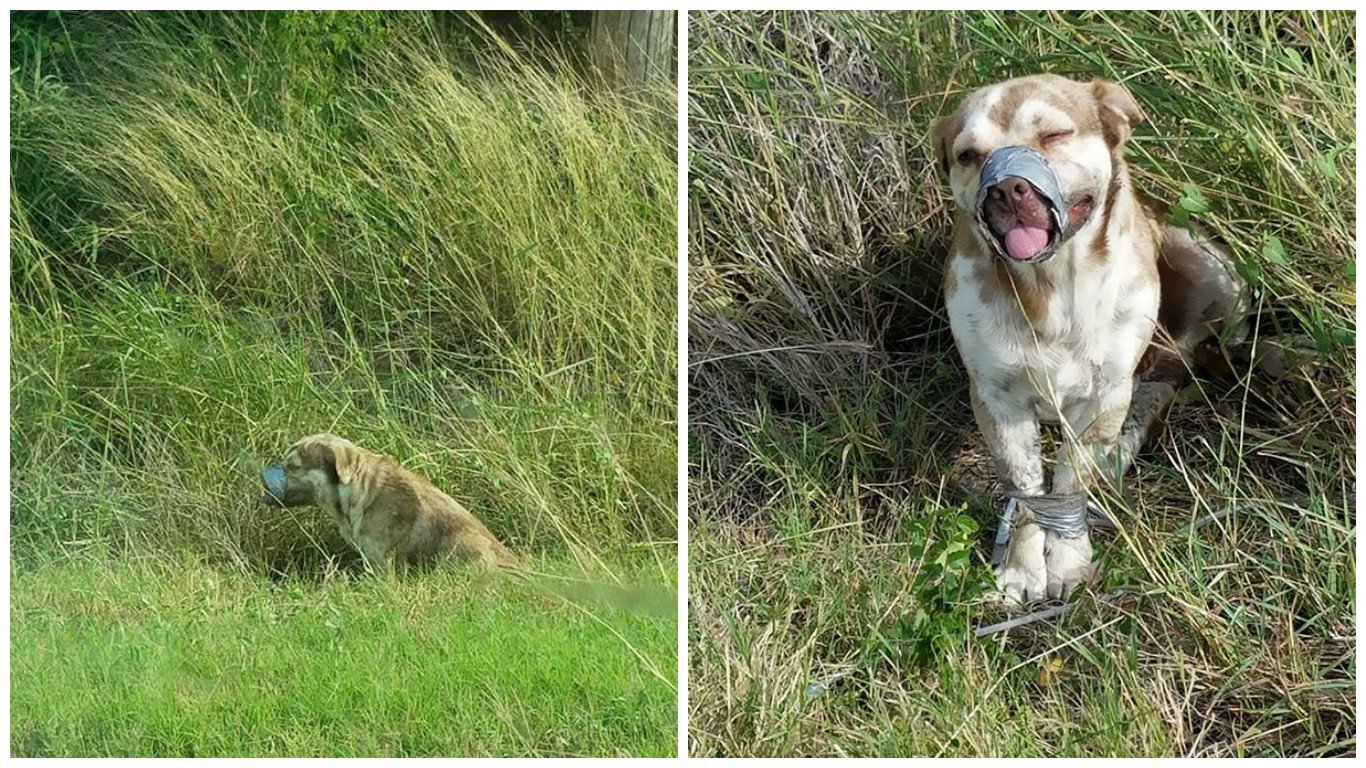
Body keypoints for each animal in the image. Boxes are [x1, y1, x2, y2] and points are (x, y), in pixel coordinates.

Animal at [934, 76, 1251, 604]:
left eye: (1055, 134)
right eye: (968, 156)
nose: (1006, 187)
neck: (1051, 288)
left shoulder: (1103, 395)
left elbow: (1068, 481)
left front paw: (1067, 561)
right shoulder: (997, 399)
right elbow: (1027, 488)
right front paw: (1022, 566)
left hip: (1210, 268)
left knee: (1169, 376)